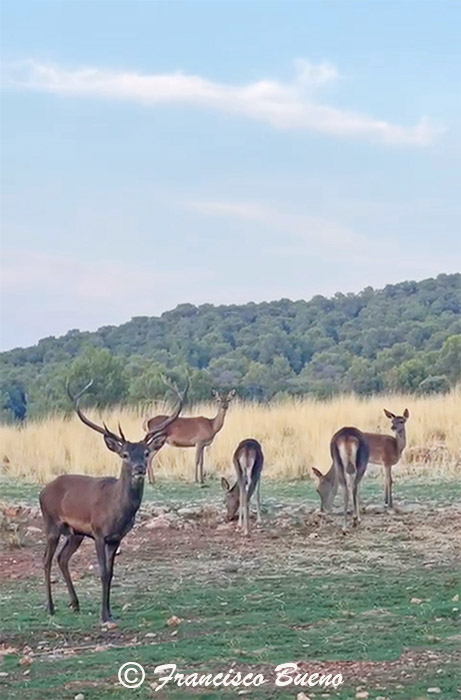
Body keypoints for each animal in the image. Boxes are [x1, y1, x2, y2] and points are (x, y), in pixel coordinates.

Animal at [38, 380, 185, 620]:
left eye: (146, 452)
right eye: (125, 454)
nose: (139, 468)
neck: (116, 510)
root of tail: (43, 491)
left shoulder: (116, 538)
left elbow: (112, 573)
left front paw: (110, 612)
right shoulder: (99, 533)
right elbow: (103, 572)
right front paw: (103, 615)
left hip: (75, 533)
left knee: (62, 558)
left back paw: (75, 603)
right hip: (51, 523)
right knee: (46, 559)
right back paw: (50, 607)